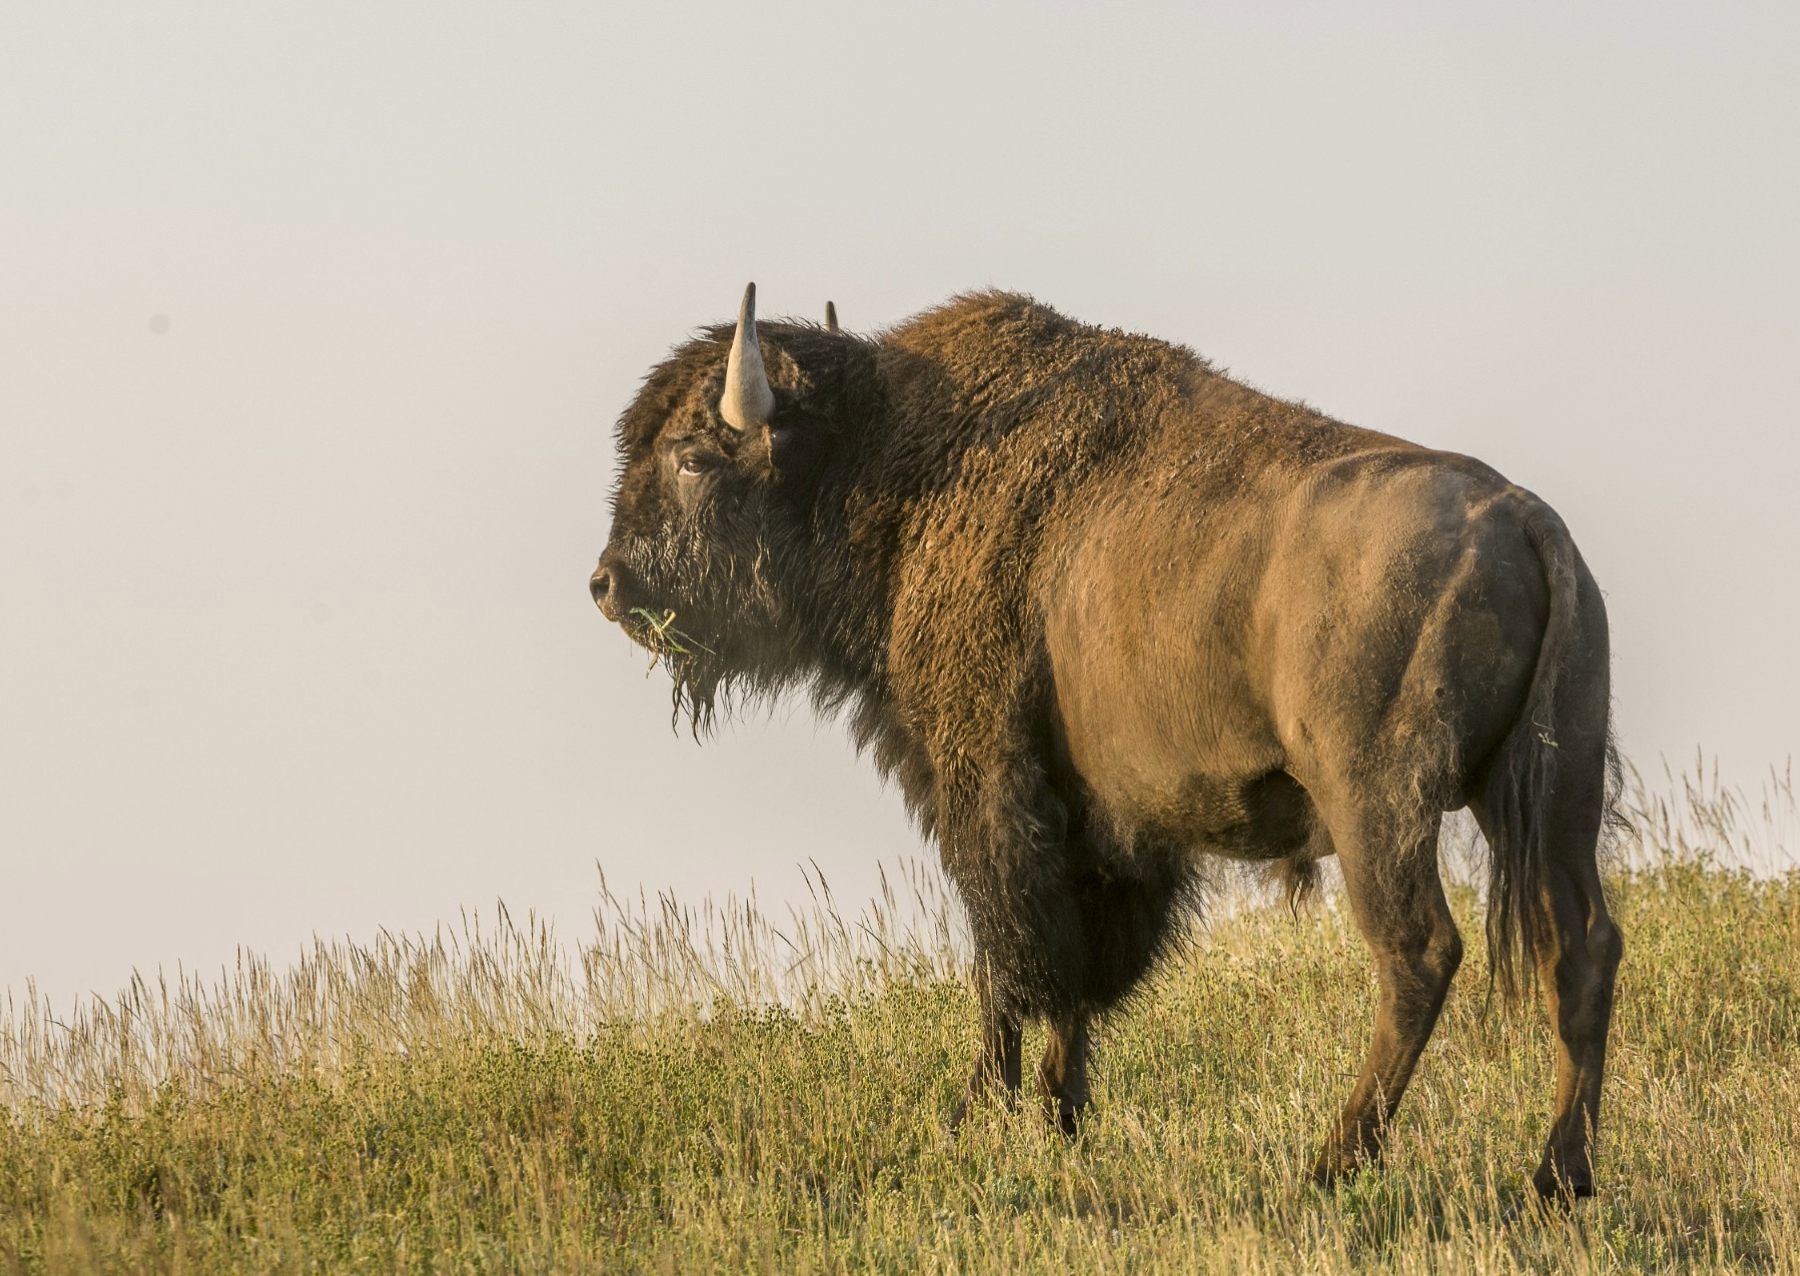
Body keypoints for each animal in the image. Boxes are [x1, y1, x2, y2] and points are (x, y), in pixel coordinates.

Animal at [590, 285, 1621, 1201]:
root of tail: (1527, 518)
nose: (607, 584)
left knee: (1418, 953)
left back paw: (1332, 1165)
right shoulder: (1103, 826)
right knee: (1583, 949)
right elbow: (1078, 973)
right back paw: (1557, 1178)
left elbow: (1013, 960)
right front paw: (1062, 1111)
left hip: (1379, 804)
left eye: (692, 456)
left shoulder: (988, 788)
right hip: (1552, 798)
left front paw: (977, 1114)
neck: (894, 463)